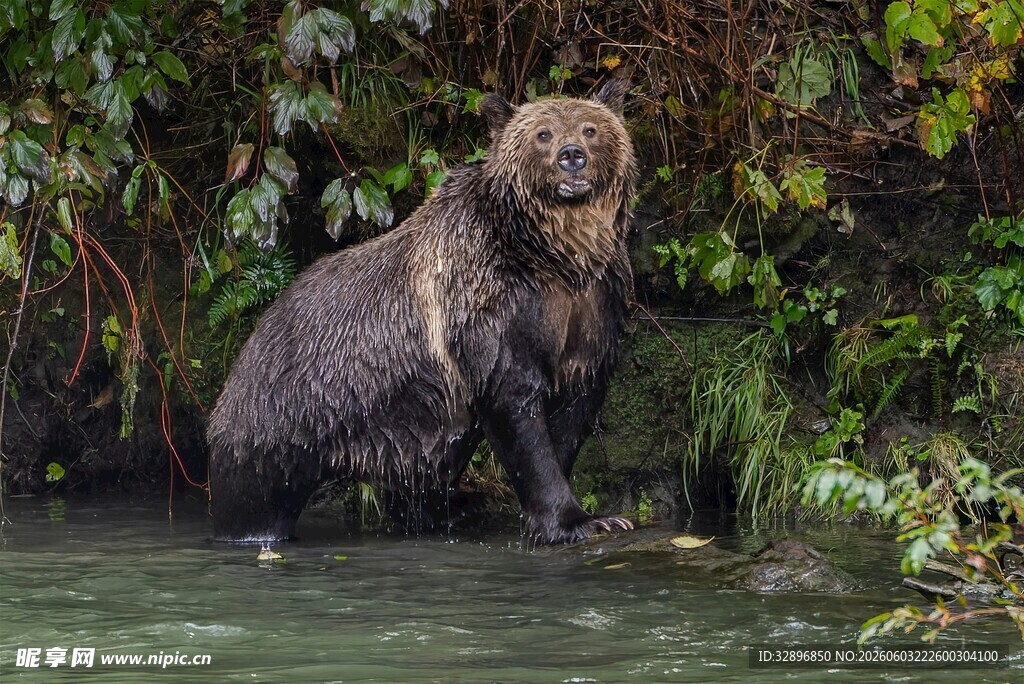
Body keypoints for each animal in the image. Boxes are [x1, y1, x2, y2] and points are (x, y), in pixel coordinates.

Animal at [207, 79, 639, 544]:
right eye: (543, 134)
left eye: (590, 128)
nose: (571, 155)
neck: (554, 256)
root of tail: (250, 339)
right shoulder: (488, 310)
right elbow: (517, 409)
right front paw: (575, 521)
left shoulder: (591, 307)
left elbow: (574, 408)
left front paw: (591, 515)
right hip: (278, 419)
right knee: (252, 497)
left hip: (408, 432)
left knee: (420, 477)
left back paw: (457, 508)